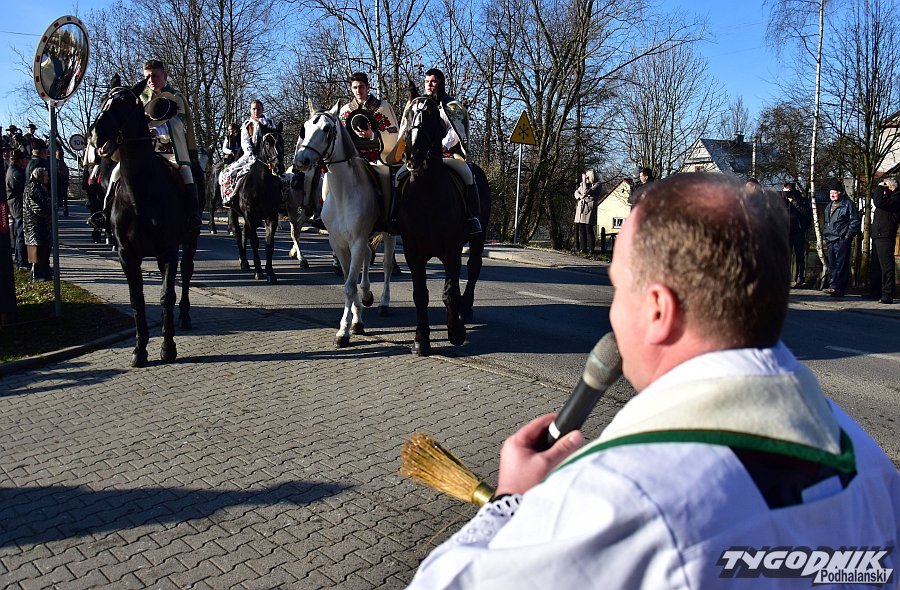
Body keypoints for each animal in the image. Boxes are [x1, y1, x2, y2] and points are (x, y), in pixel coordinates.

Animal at [89, 78, 198, 367]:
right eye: (103, 99)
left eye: (126, 101)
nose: (96, 133)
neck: (140, 194)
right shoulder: (127, 254)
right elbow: (137, 300)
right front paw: (140, 349)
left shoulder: (169, 249)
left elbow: (166, 296)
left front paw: (168, 347)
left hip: (189, 239)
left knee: (186, 274)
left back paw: (184, 317)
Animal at [224, 122, 285, 283]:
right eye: (268, 142)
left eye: (282, 142)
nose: (278, 167)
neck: (262, 184)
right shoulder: (250, 215)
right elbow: (255, 242)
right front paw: (258, 271)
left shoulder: (271, 216)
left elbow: (269, 244)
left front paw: (270, 273)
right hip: (234, 212)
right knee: (238, 233)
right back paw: (244, 262)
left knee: (245, 232)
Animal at [293, 103, 396, 347]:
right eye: (304, 128)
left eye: (327, 129)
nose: (300, 161)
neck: (343, 192)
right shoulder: (338, 243)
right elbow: (348, 283)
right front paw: (356, 320)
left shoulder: (356, 241)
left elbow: (350, 285)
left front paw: (343, 331)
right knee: (368, 257)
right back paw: (367, 295)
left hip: (389, 234)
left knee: (387, 265)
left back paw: (384, 302)